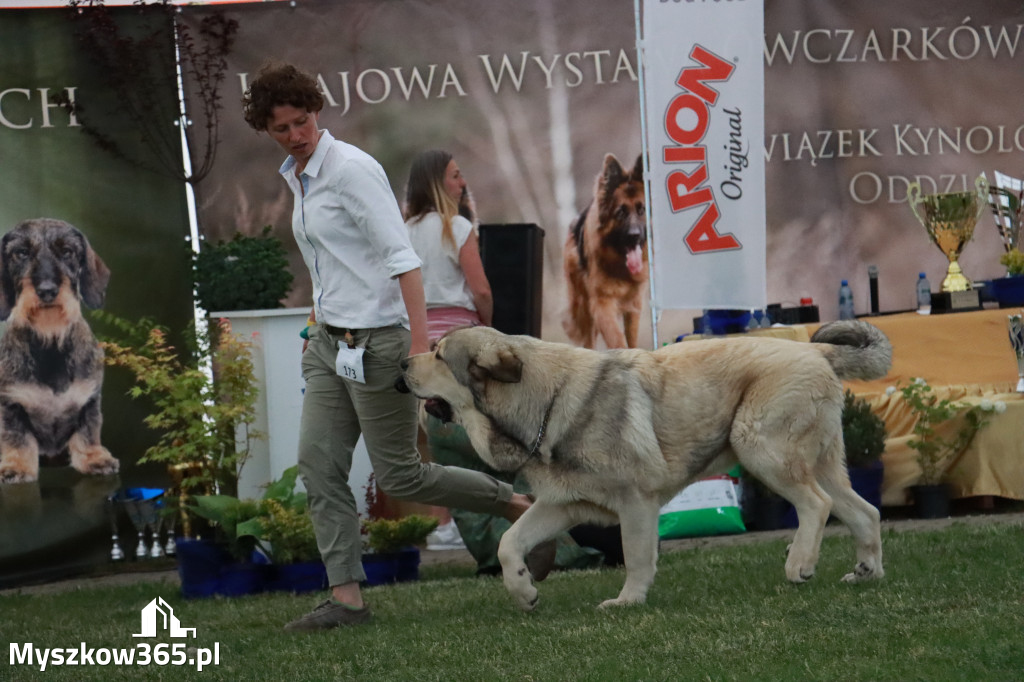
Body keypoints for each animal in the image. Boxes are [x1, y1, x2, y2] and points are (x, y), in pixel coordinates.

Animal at [395, 319, 892, 610]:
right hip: (821, 462)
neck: (545, 401)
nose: (400, 364)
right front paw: (524, 590)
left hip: (760, 448)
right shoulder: (563, 505)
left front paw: (627, 602)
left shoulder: (635, 502)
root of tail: (816, 351)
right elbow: (509, 542)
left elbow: (635, 556)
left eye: (439, 354)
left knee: (816, 505)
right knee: (864, 511)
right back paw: (866, 572)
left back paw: (800, 565)